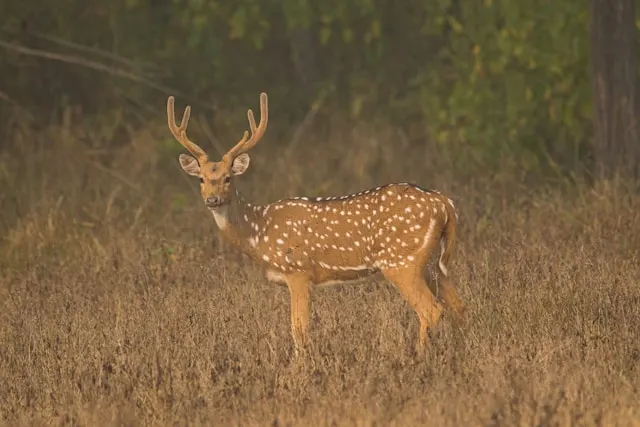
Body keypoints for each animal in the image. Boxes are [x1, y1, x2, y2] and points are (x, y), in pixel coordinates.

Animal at [166, 93, 464, 354]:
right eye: (202, 179)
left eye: (228, 178)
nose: (213, 199)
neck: (258, 232)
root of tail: (444, 203)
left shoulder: (298, 271)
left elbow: (299, 329)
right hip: (433, 264)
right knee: (459, 307)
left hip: (402, 262)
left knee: (432, 310)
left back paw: (419, 359)